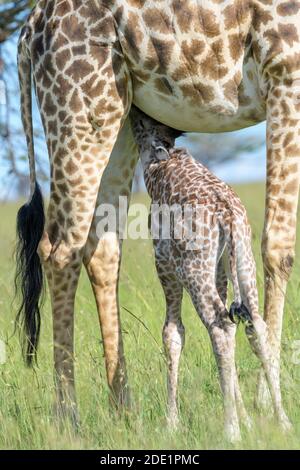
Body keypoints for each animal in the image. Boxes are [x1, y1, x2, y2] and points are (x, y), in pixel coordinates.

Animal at [129, 105, 290, 440]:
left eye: (141, 119)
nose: (133, 110)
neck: (159, 163)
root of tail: (226, 213)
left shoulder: (165, 267)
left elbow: (172, 332)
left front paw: (171, 423)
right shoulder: (220, 270)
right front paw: (248, 419)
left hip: (194, 270)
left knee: (220, 327)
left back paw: (231, 431)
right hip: (243, 261)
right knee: (255, 324)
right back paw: (282, 421)